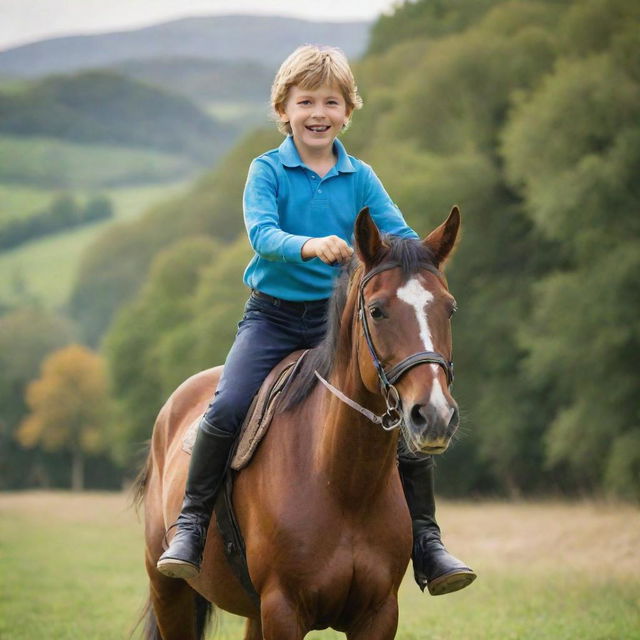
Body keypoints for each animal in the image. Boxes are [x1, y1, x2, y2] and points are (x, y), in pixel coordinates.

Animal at [135, 206, 462, 640]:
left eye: (449, 308)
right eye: (377, 310)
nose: (436, 414)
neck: (342, 483)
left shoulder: (378, 614)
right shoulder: (284, 611)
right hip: (170, 592)